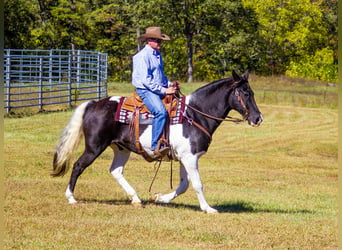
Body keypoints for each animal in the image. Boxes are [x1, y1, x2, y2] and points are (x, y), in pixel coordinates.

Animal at [52, 70, 264, 213]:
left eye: (252, 93)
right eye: (245, 93)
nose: (258, 118)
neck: (194, 114)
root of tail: (94, 104)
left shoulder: (183, 158)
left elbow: (183, 185)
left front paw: (160, 198)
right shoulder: (190, 158)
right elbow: (197, 184)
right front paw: (208, 208)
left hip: (121, 149)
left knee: (116, 171)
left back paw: (136, 198)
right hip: (94, 147)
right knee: (78, 166)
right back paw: (71, 197)